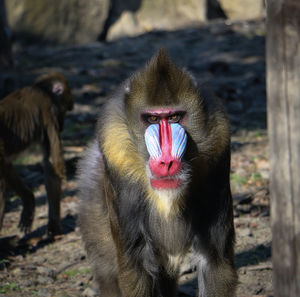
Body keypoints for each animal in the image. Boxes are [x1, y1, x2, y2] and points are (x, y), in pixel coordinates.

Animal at [0, 71, 73, 234]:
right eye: (65, 109)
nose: (63, 124)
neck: (41, 90)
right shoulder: (49, 110)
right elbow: (53, 164)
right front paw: (54, 226)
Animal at [78, 49, 238, 294]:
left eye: (174, 118)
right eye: (153, 118)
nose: (166, 162)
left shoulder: (217, 152)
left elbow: (215, 259)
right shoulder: (118, 158)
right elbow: (136, 266)